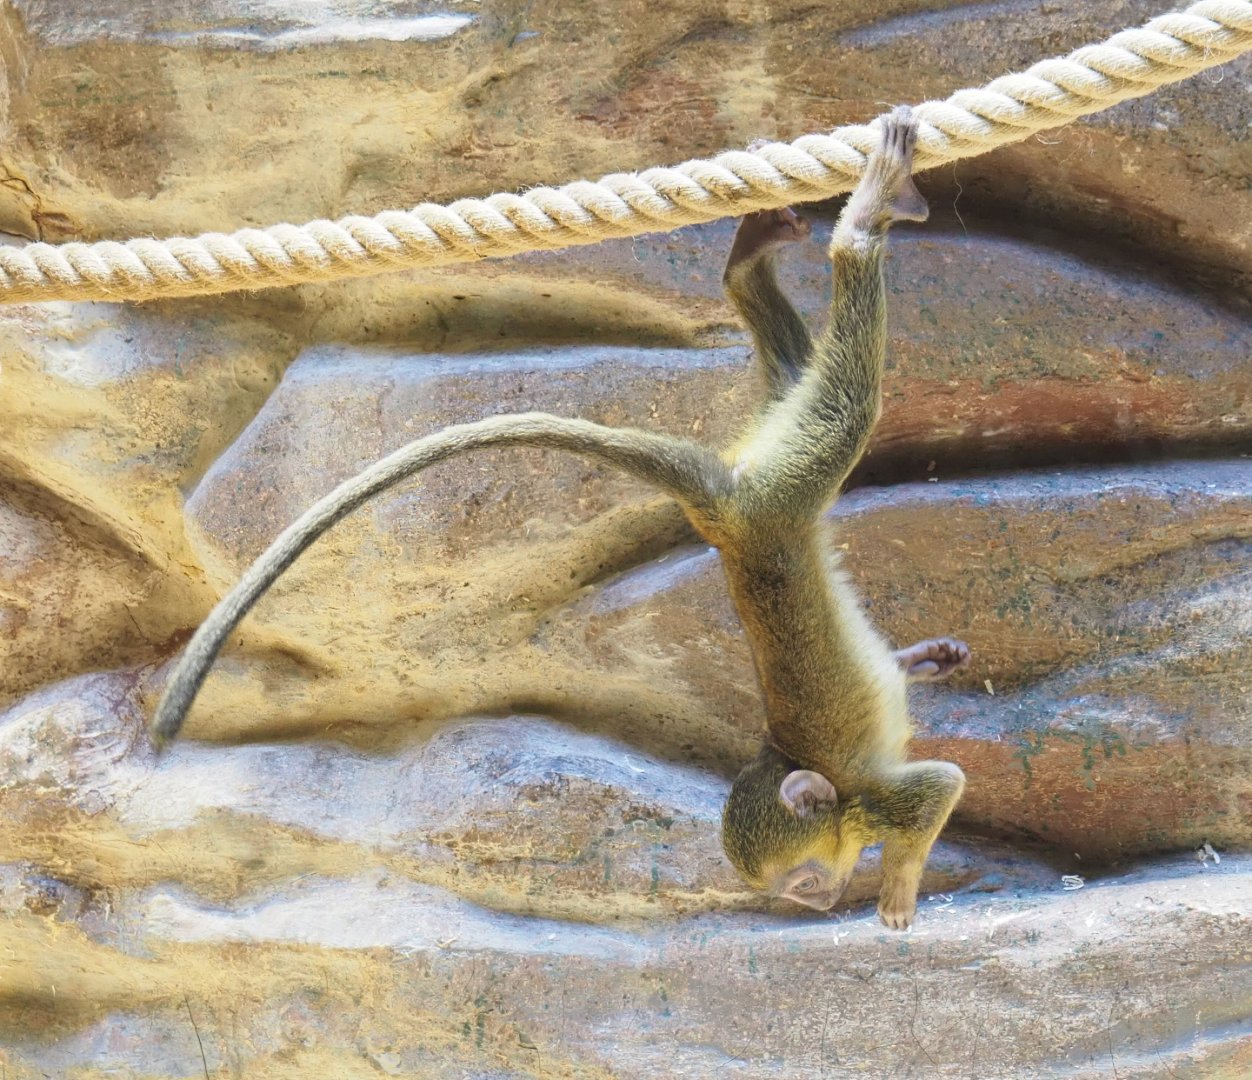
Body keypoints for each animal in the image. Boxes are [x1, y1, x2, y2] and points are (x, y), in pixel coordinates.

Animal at [151, 106, 968, 929]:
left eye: (800, 882)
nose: (821, 900)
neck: (808, 778)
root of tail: (724, 510)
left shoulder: (871, 803)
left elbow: (942, 786)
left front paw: (898, 890)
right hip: (773, 479)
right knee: (801, 379)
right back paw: (751, 269)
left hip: (781, 488)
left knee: (843, 405)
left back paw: (859, 227)